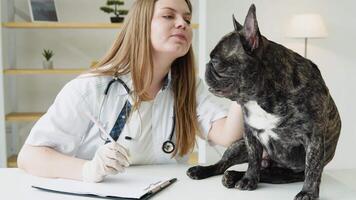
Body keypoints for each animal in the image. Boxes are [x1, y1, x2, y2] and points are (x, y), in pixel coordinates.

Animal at [188, 4, 340, 200]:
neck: (261, 98)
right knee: (224, 165)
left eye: (215, 61)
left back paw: (234, 176)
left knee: (269, 174)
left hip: (286, 174)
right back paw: (207, 171)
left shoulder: (313, 137)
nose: (206, 65)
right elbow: (254, 159)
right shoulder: (249, 133)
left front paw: (308, 192)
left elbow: (312, 168)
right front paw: (248, 180)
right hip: (238, 145)